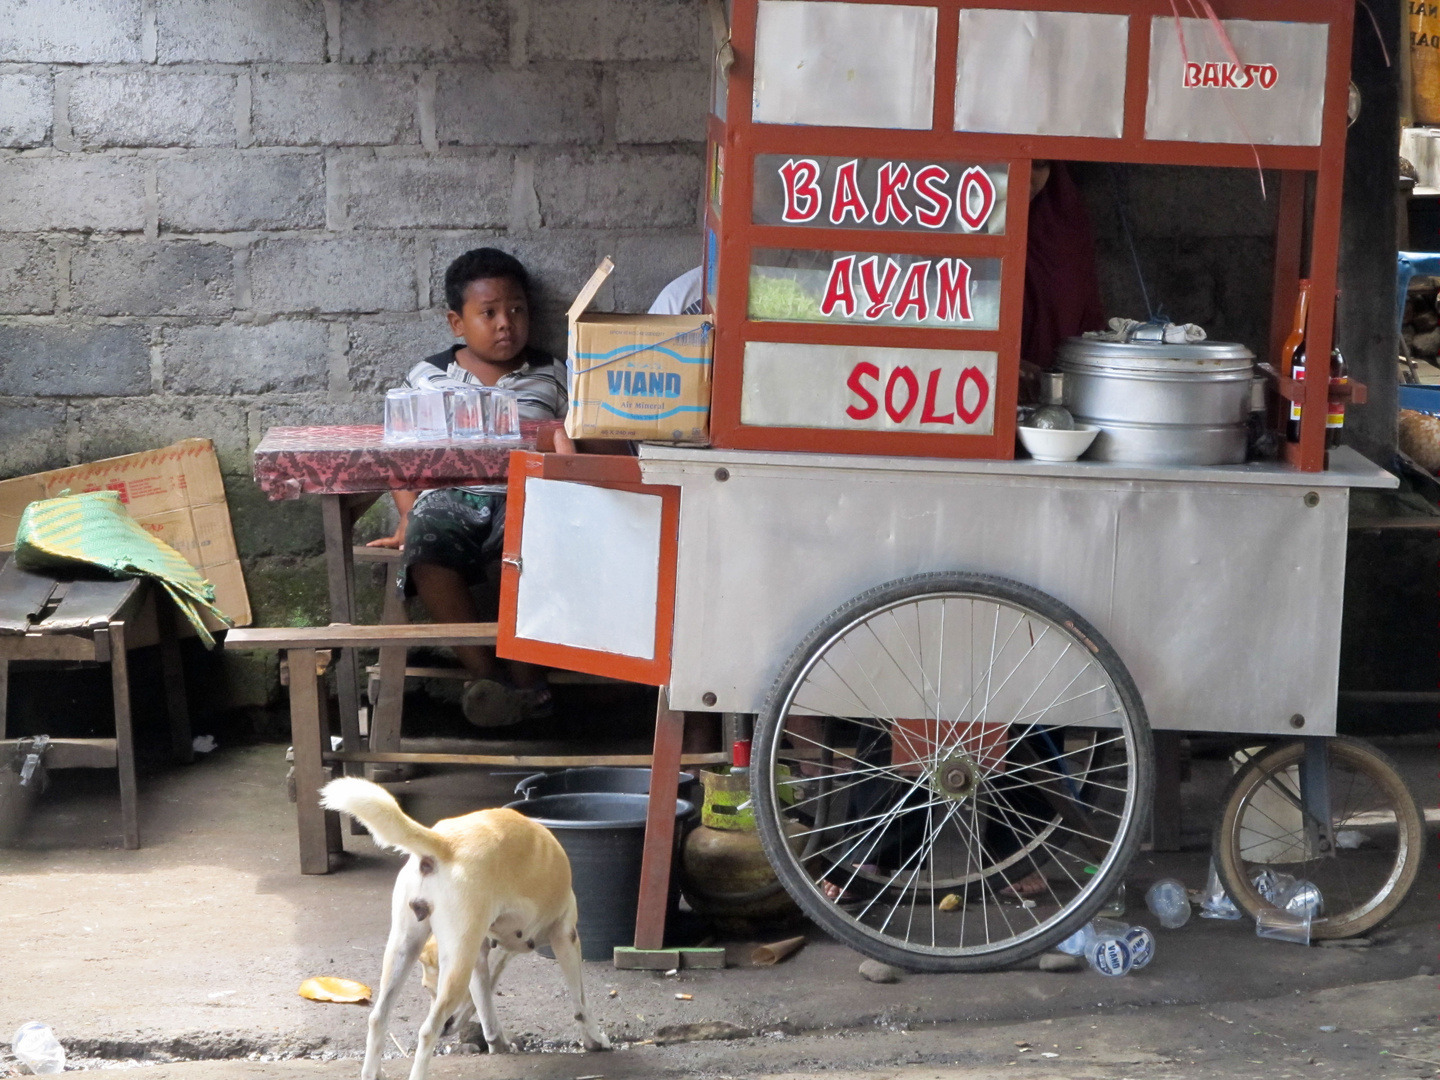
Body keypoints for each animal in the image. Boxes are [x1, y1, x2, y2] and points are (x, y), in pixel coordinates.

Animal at [318, 777, 610, 1080]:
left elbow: (484, 1003)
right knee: (427, 1030)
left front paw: (497, 1043)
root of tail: (444, 842)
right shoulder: (566, 938)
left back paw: (372, 1072)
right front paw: (594, 1040)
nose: (449, 1026)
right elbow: (580, 1001)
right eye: (427, 988)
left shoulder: (483, 958)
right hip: (458, 965)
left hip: (403, 949)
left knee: (378, 1017)